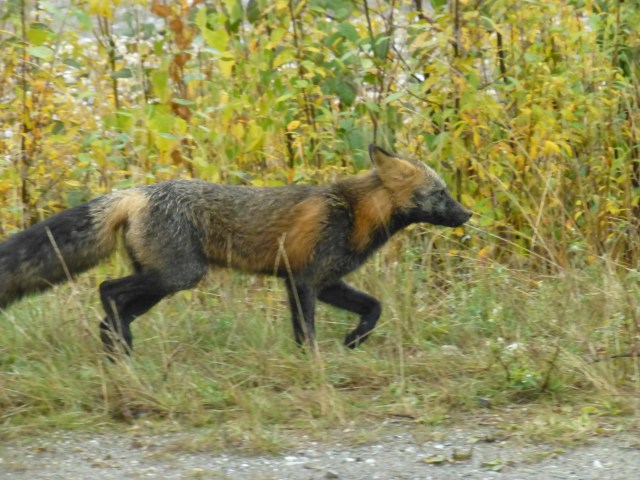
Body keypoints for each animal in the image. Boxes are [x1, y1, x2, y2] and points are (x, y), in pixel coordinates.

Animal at [0, 145, 471, 354]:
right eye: (441, 194)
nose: (467, 214)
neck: (353, 213)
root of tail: (137, 192)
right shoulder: (303, 279)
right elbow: (306, 332)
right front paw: (313, 364)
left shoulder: (326, 280)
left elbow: (373, 307)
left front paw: (354, 340)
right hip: (177, 276)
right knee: (107, 289)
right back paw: (122, 349)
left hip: (161, 283)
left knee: (110, 308)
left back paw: (118, 353)